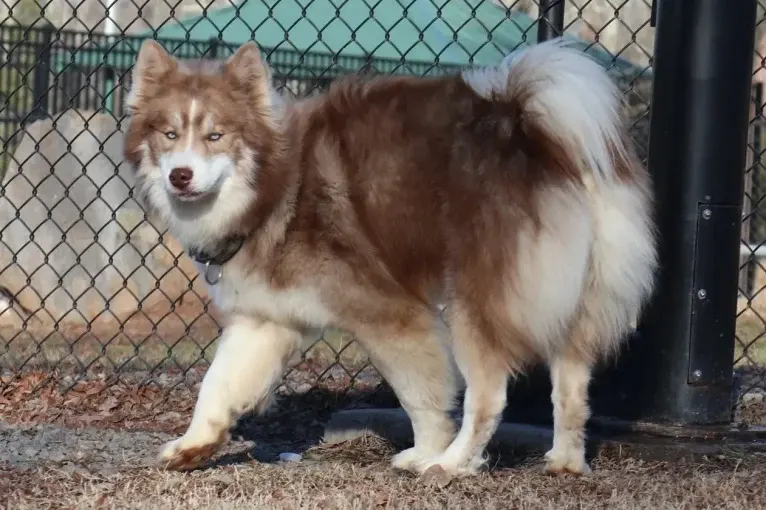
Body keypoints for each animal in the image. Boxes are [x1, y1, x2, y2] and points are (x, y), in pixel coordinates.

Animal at [124, 37, 660, 476]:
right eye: (169, 134)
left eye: (215, 136)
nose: (180, 176)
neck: (275, 189)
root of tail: (537, 132)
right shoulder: (264, 320)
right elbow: (215, 384)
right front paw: (192, 446)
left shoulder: (387, 312)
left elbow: (420, 395)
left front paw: (427, 451)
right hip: (577, 298)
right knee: (572, 387)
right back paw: (565, 462)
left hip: (473, 302)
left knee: (489, 396)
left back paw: (452, 464)